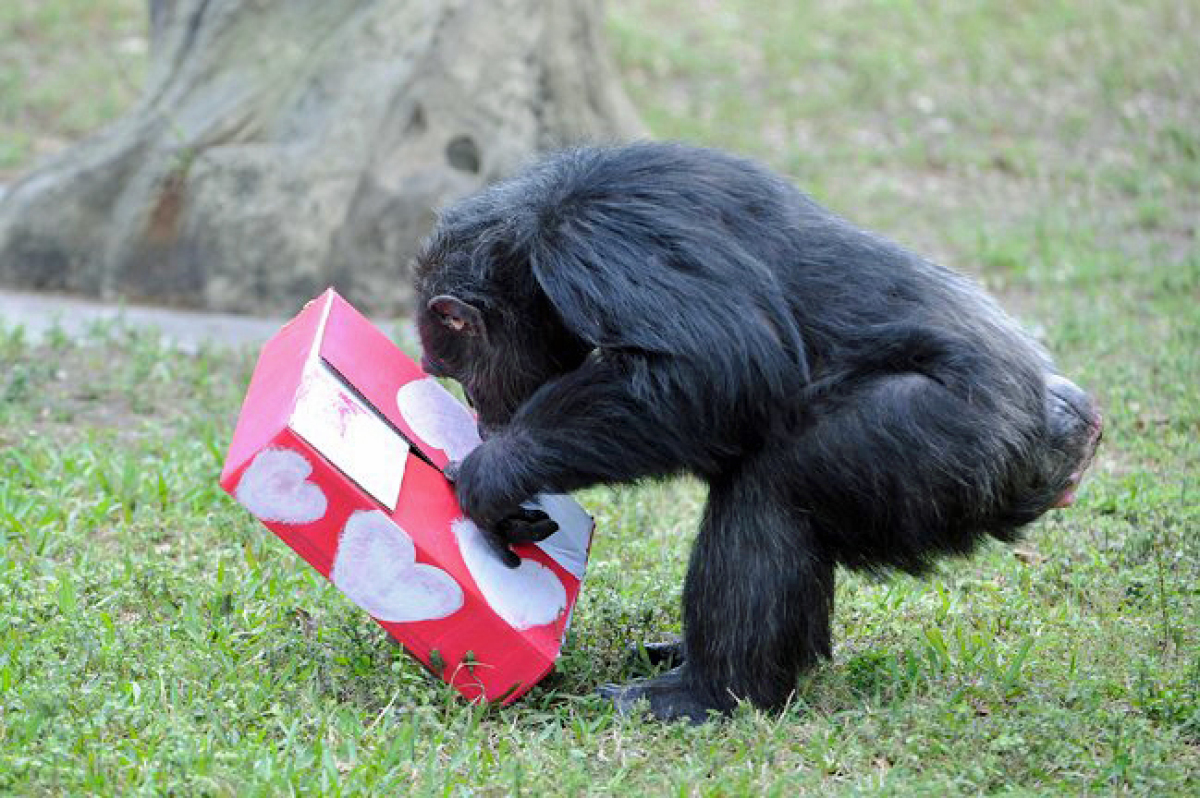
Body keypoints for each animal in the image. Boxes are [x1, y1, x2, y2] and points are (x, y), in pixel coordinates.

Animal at [412, 141, 1102, 723]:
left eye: (457, 372)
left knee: (770, 491)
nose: (480, 416)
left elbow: (724, 363)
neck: (533, 238)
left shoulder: (598, 240)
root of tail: (1068, 437)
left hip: (946, 443)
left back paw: (708, 692)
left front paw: (497, 472)